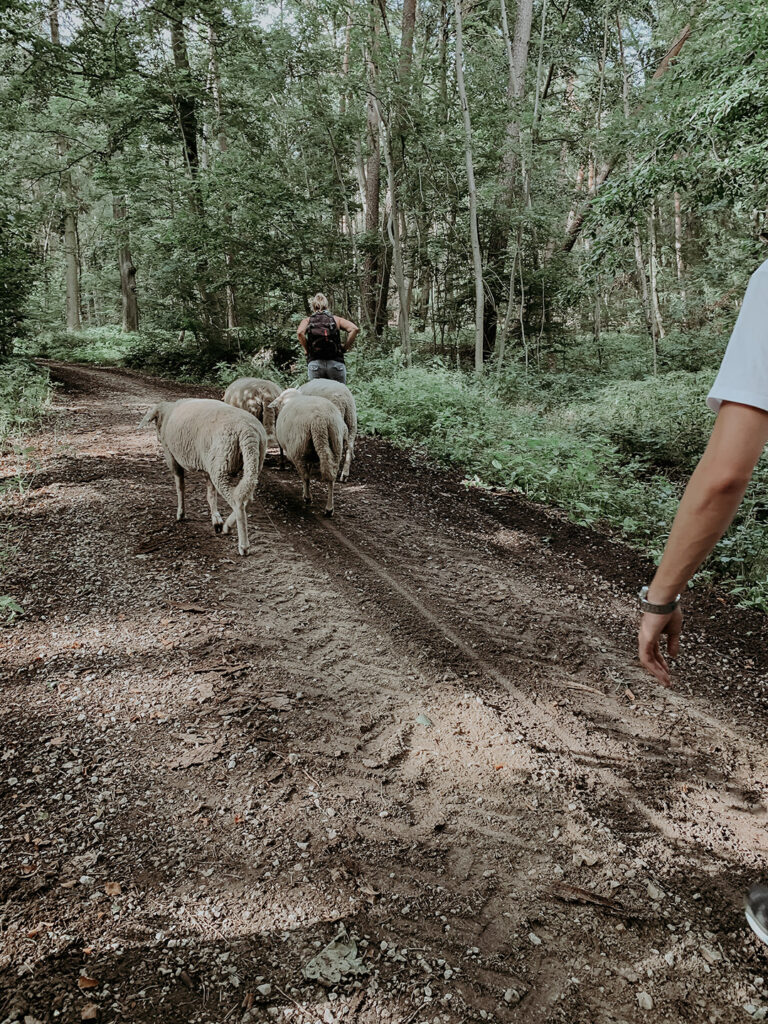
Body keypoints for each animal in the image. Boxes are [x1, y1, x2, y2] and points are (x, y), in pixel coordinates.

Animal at [140, 401, 268, 561]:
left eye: (156, 421)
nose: (157, 438)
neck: (167, 412)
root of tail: (247, 431)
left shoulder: (172, 457)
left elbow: (180, 486)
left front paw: (181, 513)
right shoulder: (207, 467)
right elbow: (210, 495)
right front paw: (216, 520)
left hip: (221, 466)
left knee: (237, 501)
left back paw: (242, 545)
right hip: (252, 462)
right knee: (247, 498)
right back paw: (227, 526)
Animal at [268, 387, 346, 516]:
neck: (291, 398)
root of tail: (320, 420)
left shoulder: (303, 453)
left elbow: (306, 475)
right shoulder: (310, 455)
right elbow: (310, 470)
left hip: (299, 450)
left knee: (305, 476)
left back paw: (308, 497)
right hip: (336, 444)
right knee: (331, 476)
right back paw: (329, 508)